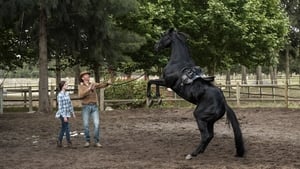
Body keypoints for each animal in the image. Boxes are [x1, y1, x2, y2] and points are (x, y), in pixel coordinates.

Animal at [146, 28, 245, 160]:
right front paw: (155, 99)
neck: (178, 62)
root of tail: (223, 102)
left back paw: (192, 154)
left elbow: (151, 82)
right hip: (209, 121)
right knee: (210, 135)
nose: (156, 46)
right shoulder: (166, 83)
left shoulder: (167, 82)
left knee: (206, 136)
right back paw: (200, 151)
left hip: (200, 116)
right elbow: (152, 82)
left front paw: (152, 99)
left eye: (163, 36)